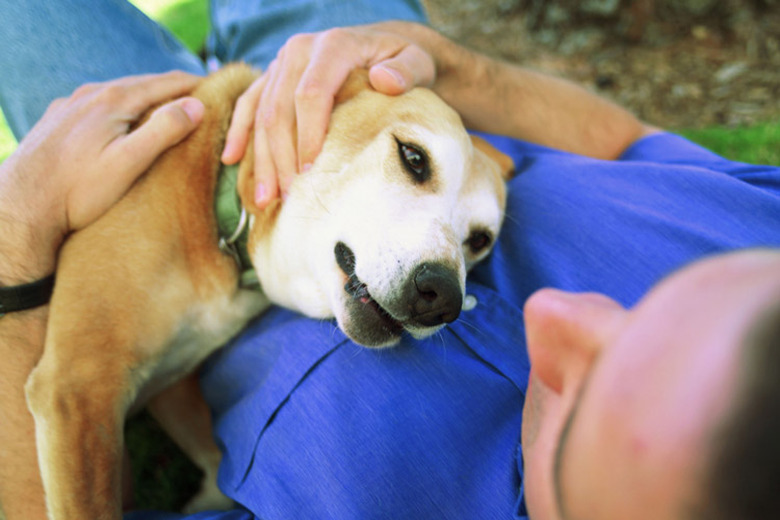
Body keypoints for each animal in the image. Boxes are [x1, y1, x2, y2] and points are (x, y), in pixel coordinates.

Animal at [24, 66, 516, 520]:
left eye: (480, 240)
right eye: (413, 156)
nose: (444, 297)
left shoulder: (168, 386)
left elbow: (216, 471)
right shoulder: (78, 384)